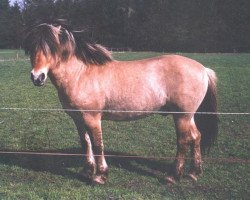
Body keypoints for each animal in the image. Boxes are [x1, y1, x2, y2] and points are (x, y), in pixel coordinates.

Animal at [23, 23, 219, 184]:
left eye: (52, 47)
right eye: (32, 47)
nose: (37, 77)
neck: (80, 74)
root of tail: (203, 69)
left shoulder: (92, 118)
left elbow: (98, 144)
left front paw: (100, 176)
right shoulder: (78, 119)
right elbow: (85, 143)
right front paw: (87, 171)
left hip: (181, 116)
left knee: (183, 141)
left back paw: (173, 176)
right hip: (188, 116)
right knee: (196, 137)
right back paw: (193, 173)